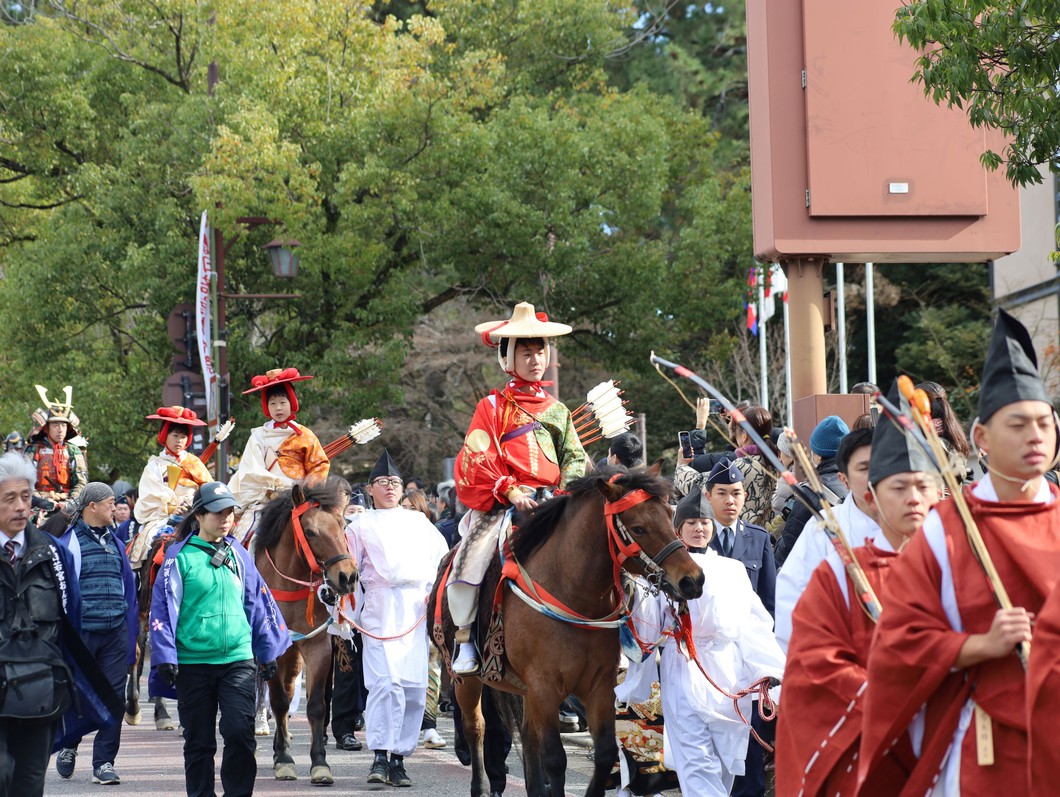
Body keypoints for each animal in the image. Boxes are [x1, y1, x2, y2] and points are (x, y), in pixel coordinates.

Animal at [253, 479, 360, 784]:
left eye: (342, 524)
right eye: (310, 531)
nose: (348, 576)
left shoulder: (316, 646)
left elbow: (315, 706)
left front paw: (320, 764)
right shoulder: (272, 650)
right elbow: (278, 702)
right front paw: (285, 761)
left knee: (290, 690)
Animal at [430, 464, 703, 797]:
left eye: (669, 515)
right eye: (638, 528)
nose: (693, 580)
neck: (575, 594)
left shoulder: (598, 685)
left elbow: (605, 753)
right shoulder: (545, 687)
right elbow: (555, 758)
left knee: (526, 735)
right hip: (467, 679)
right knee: (476, 727)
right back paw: (481, 786)